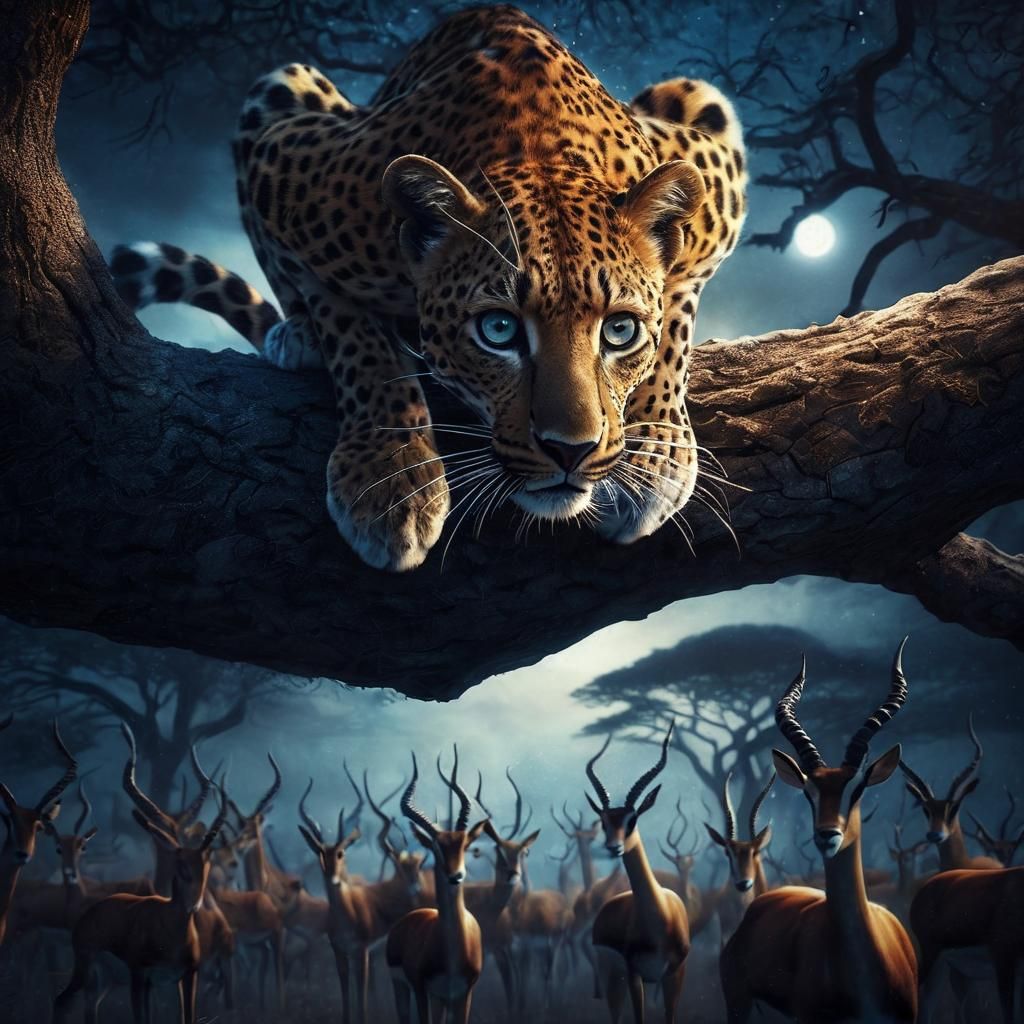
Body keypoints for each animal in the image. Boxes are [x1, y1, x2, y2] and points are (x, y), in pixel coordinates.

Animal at [109, 5, 747, 571]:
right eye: (498, 330)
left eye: (620, 330)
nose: (571, 450)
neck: (536, 147)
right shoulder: (284, 161)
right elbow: (353, 333)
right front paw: (387, 477)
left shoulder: (716, 173)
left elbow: (676, 312)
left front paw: (657, 452)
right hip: (285, 84)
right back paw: (297, 336)